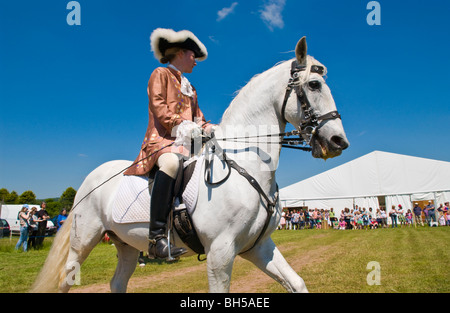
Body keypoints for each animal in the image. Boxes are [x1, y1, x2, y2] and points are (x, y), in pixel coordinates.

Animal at [30, 37, 348, 292]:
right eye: (314, 85)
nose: (338, 142)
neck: (248, 168)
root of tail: (91, 178)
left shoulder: (259, 246)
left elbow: (296, 283)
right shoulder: (220, 252)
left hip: (127, 245)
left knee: (117, 282)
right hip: (83, 242)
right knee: (66, 280)